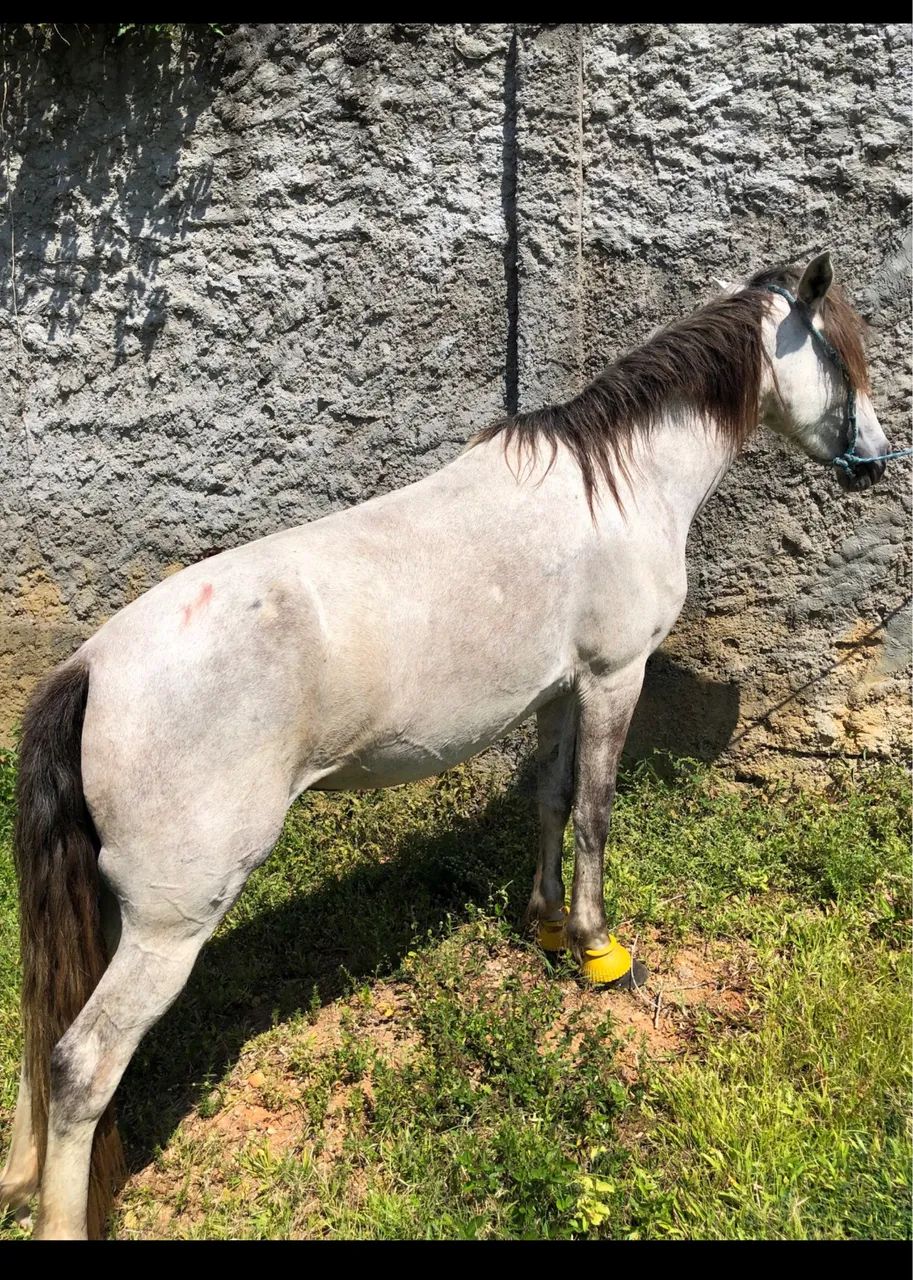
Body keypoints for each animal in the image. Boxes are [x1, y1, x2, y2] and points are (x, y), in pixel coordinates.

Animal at [0, 252, 895, 1239]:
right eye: (843, 352)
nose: (874, 460)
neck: (614, 487)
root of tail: (91, 667)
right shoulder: (613, 677)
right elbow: (594, 811)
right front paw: (597, 949)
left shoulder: (559, 690)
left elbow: (549, 801)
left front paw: (546, 924)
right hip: (170, 922)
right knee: (80, 1063)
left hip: (113, 908)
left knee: (43, 1021)